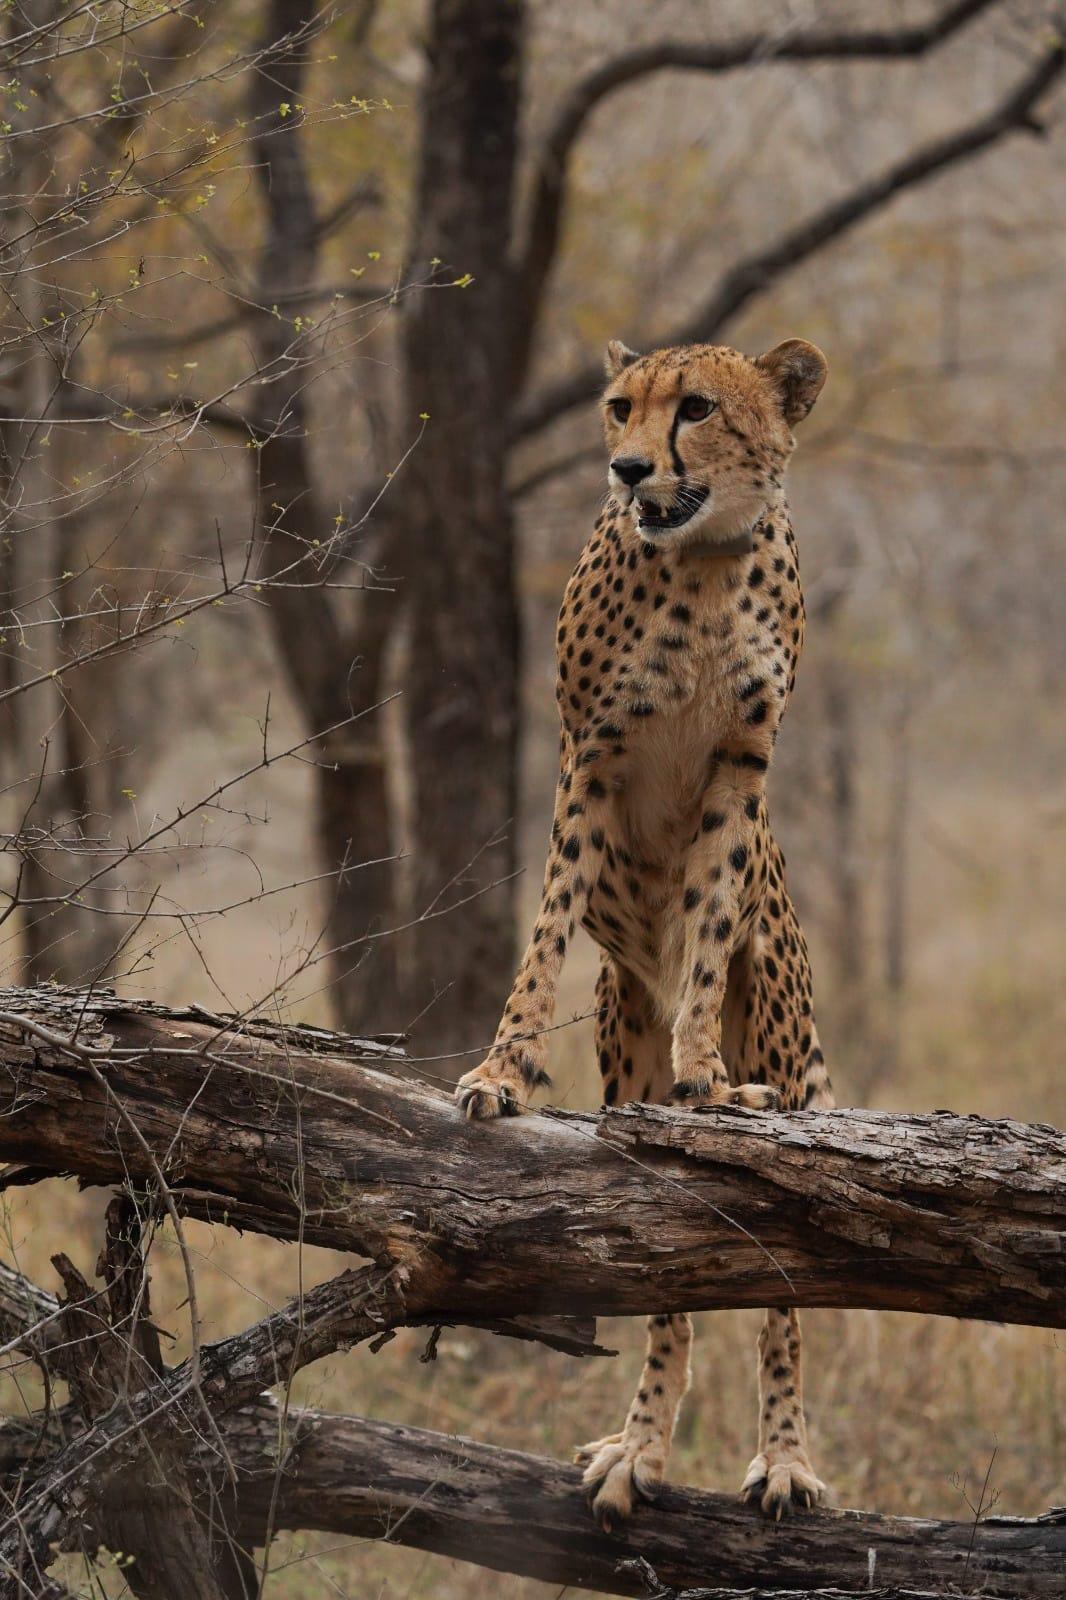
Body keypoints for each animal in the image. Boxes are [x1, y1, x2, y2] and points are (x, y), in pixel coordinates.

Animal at [456, 336, 834, 1528]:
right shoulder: (592, 754)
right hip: (622, 1036)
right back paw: (641, 1447)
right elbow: (544, 929)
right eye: (619, 407)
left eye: (698, 409)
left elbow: (706, 929)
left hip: (790, 1039)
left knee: (785, 1301)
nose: (626, 470)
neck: (703, 561)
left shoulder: (739, 770)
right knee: (665, 1287)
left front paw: (706, 1076)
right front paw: (502, 1072)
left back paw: (782, 1456)